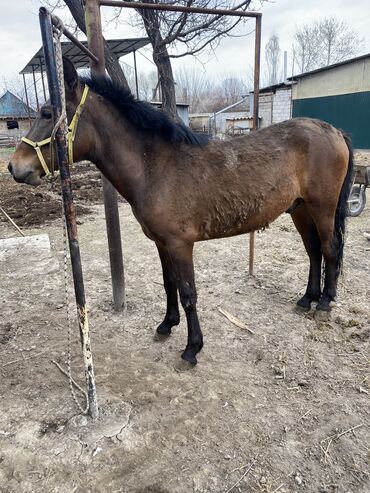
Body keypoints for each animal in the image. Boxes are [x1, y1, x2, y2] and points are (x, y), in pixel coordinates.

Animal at [8, 58, 352, 366]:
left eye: (47, 113)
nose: (14, 167)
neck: (156, 167)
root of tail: (334, 131)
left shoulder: (180, 244)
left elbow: (188, 292)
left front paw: (192, 348)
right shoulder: (162, 242)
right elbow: (168, 282)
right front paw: (166, 324)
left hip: (322, 207)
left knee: (330, 248)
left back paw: (324, 302)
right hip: (300, 210)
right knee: (314, 251)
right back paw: (307, 299)